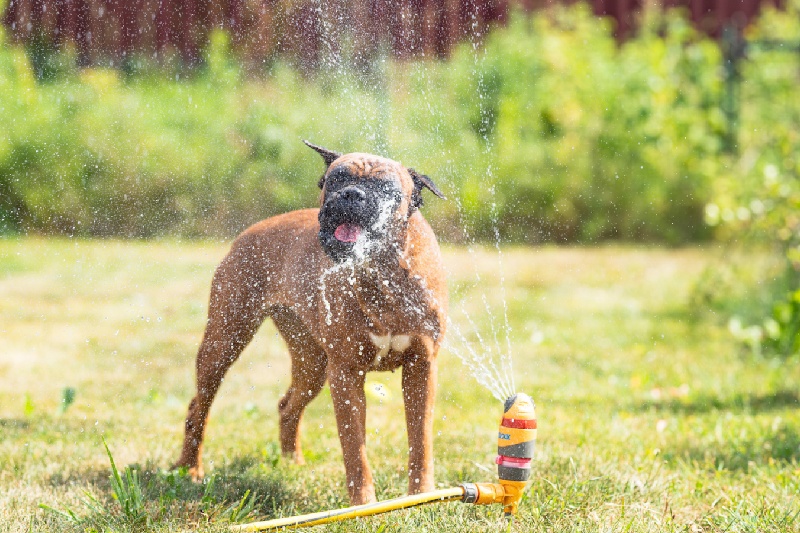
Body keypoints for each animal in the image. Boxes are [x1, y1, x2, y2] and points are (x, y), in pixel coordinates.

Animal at [175, 141, 446, 502]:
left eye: (386, 187)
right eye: (335, 179)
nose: (351, 194)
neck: (379, 271)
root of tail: (252, 230)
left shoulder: (421, 367)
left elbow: (420, 440)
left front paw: (421, 495)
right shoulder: (346, 373)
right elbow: (355, 450)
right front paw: (363, 503)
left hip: (312, 364)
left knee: (287, 406)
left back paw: (292, 463)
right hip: (224, 341)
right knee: (198, 408)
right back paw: (189, 469)